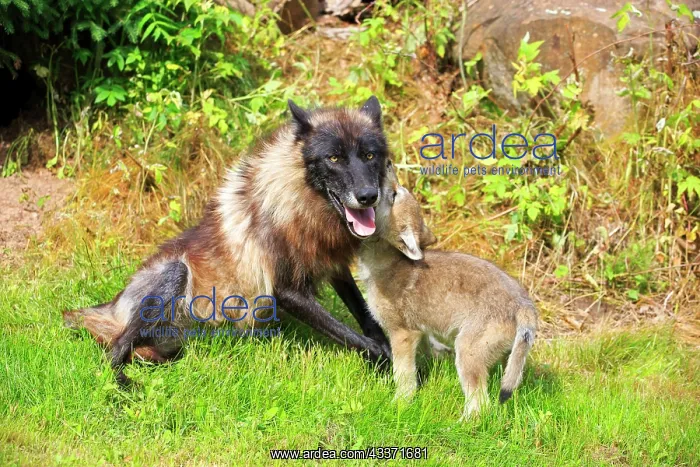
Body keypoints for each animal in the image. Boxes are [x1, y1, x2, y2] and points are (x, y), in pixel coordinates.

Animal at [64, 96, 393, 384]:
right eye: (334, 157)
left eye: (369, 155)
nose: (368, 196)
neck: (300, 203)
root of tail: (108, 307)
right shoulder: (287, 291)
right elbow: (359, 340)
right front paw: (387, 363)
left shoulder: (334, 265)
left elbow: (366, 315)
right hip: (175, 271)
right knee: (114, 351)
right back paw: (124, 386)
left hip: (172, 340)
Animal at [358, 174, 538, 419]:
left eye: (394, 195)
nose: (387, 169)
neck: (386, 263)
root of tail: (523, 304)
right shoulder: (420, 330)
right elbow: (425, 354)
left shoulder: (402, 333)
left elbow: (403, 376)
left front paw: (399, 404)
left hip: (467, 352)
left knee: (480, 405)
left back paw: (456, 423)